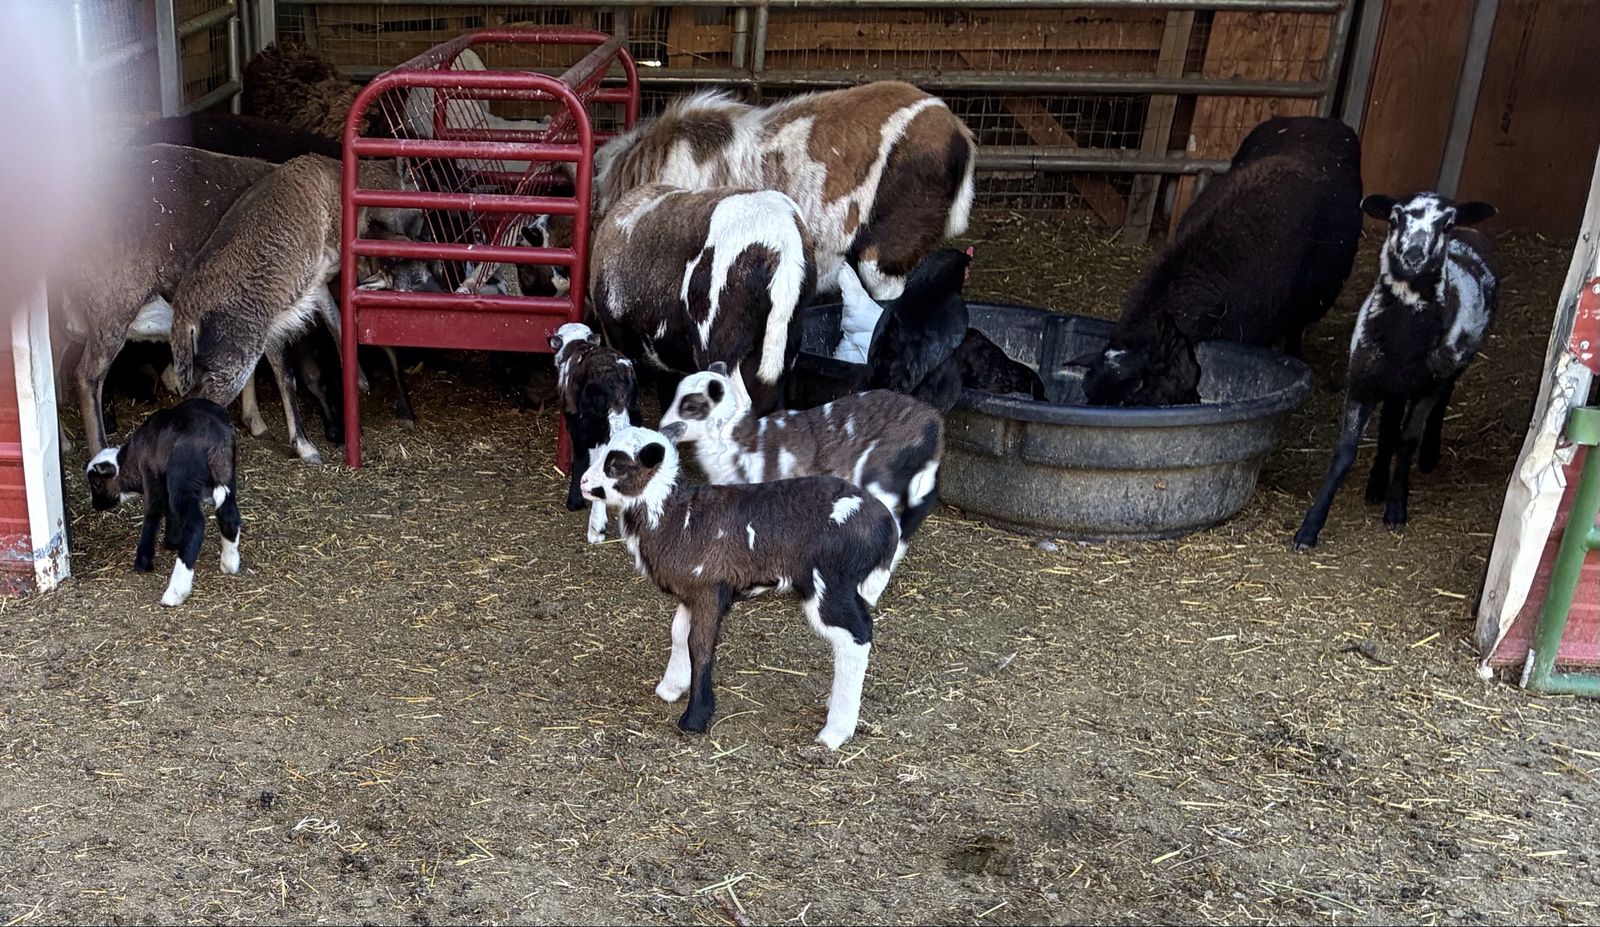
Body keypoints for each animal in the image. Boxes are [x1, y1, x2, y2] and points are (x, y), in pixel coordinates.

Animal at [85, 398, 240, 607]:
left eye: (96, 483)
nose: (95, 505)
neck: (130, 462)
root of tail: (216, 438)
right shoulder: (164, 479)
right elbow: (169, 512)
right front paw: (172, 541)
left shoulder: (151, 476)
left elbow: (153, 513)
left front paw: (142, 562)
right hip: (227, 475)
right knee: (230, 515)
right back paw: (229, 562)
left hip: (182, 479)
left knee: (195, 525)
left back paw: (176, 592)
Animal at [168, 153, 424, 464]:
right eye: (419, 206)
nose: (419, 237)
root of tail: (185, 317)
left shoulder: (317, 281)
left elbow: (336, 321)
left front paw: (360, 379)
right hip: (234, 360)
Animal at [550, 322, 640, 544]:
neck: (576, 343)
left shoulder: (577, 428)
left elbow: (580, 460)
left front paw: (574, 502)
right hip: (632, 413)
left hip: (592, 424)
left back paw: (595, 529)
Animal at [579, 425, 899, 750]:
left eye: (617, 464)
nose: (583, 482)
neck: (677, 517)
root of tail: (887, 526)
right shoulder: (689, 590)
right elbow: (679, 634)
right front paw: (671, 687)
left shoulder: (710, 589)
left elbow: (700, 646)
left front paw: (695, 717)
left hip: (831, 582)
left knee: (855, 636)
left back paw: (836, 731)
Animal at [1293, 193, 1499, 551]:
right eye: (1393, 219)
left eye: (1446, 225)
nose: (1413, 255)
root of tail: (1471, 234)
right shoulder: (1362, 381)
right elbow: (1346, 451)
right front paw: (1310, 528)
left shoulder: (1428, 384)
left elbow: (1407, 441)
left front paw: (1396, 508)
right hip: (1392, 384)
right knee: (1389, 423)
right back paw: (1376, 484)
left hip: (1452, 366)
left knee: (1440, 403)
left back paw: (1427, 457)